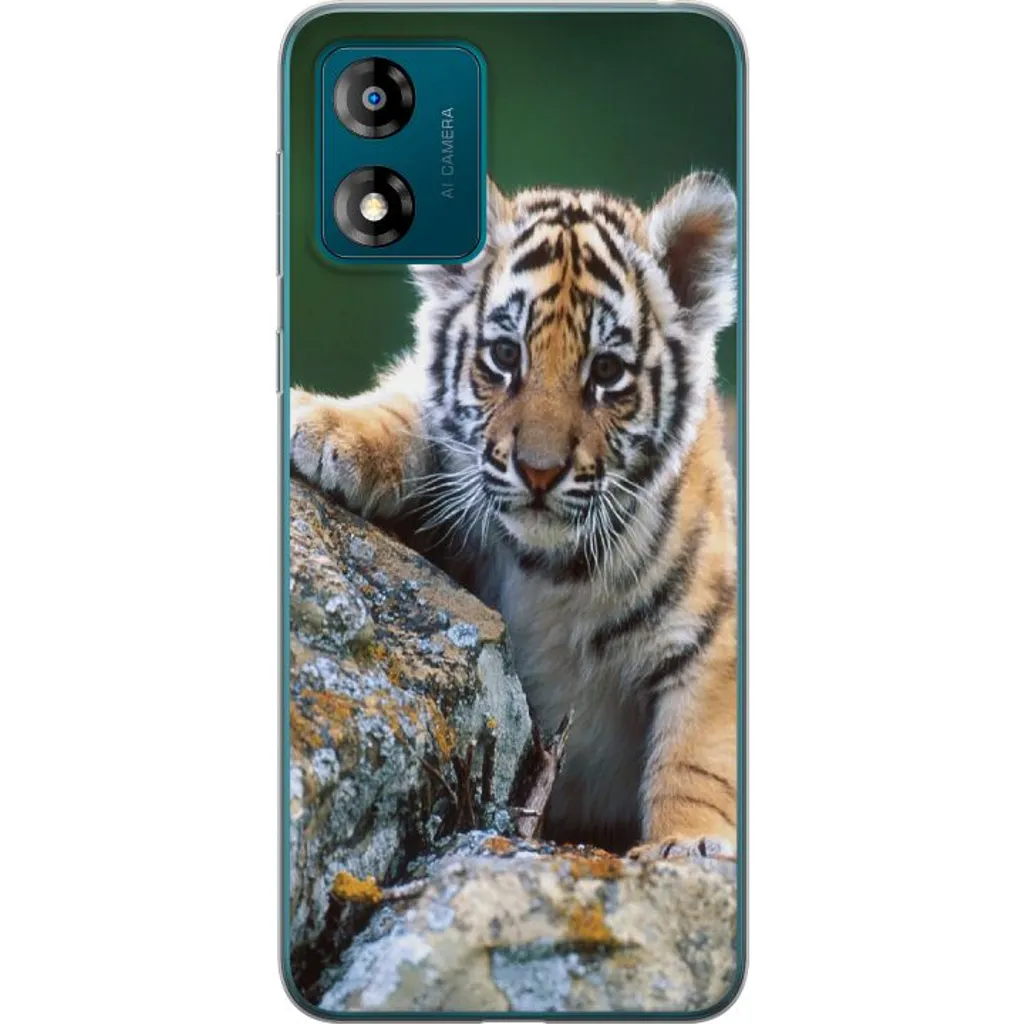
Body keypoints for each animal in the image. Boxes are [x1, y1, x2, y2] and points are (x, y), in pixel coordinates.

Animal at [290, 172, 739, 860]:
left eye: (607, 371)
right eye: (504, 356)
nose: (539, 470)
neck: (552, 569)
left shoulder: (714, 633)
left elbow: (700, 753)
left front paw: (685, 845)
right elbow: (412, 406)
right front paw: (328, 427)